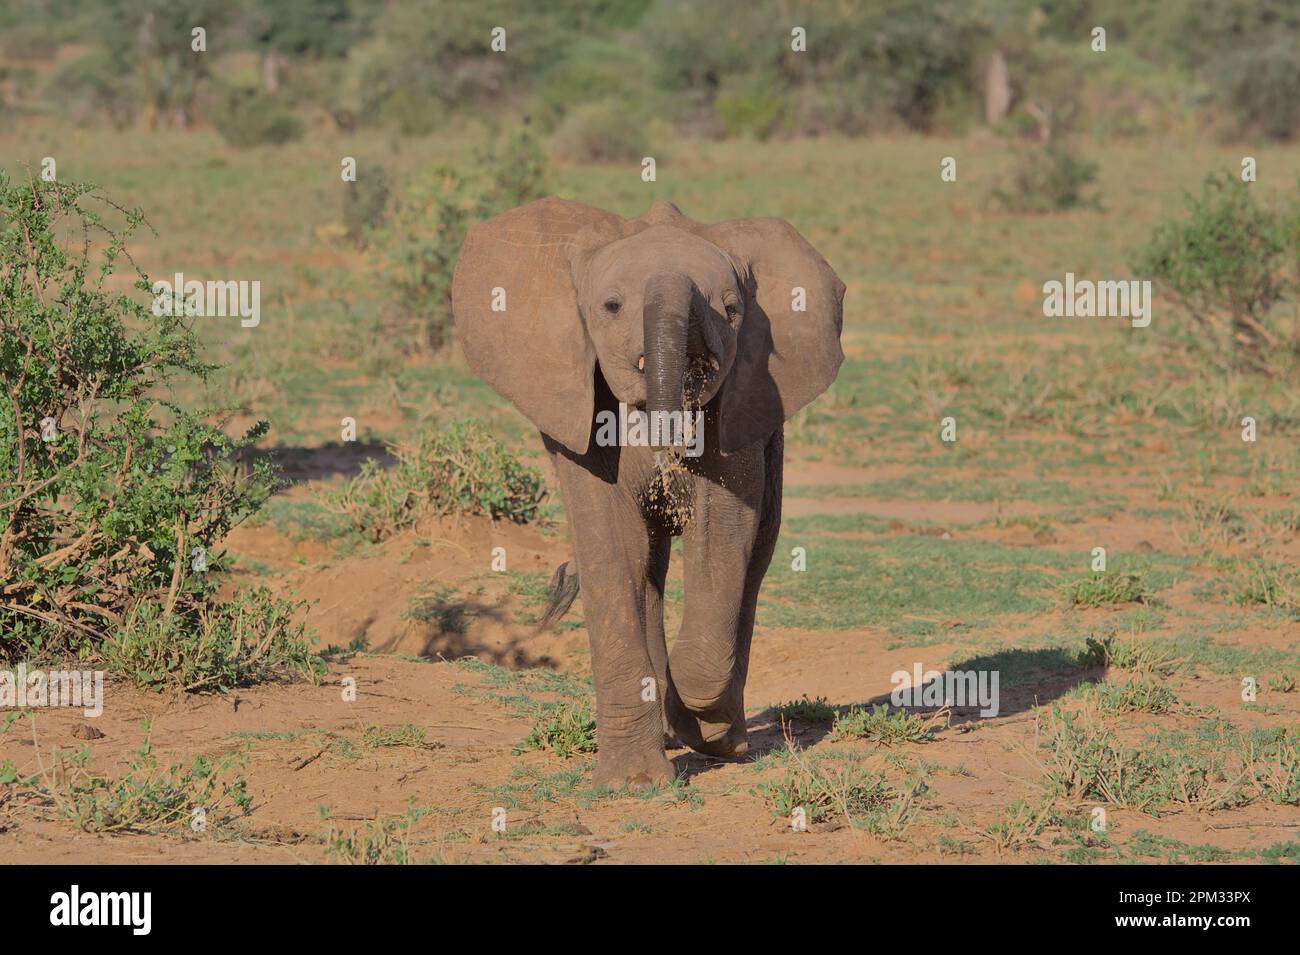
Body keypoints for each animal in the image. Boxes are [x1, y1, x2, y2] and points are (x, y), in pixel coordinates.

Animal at [452, 197, 847, 789]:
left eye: (733, 309)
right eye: (612, 306)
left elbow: (723, 527)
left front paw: (697, 723)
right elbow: (612, 543)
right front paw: (633, 784)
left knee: (753, 559)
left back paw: (721, 738)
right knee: (649, 566)